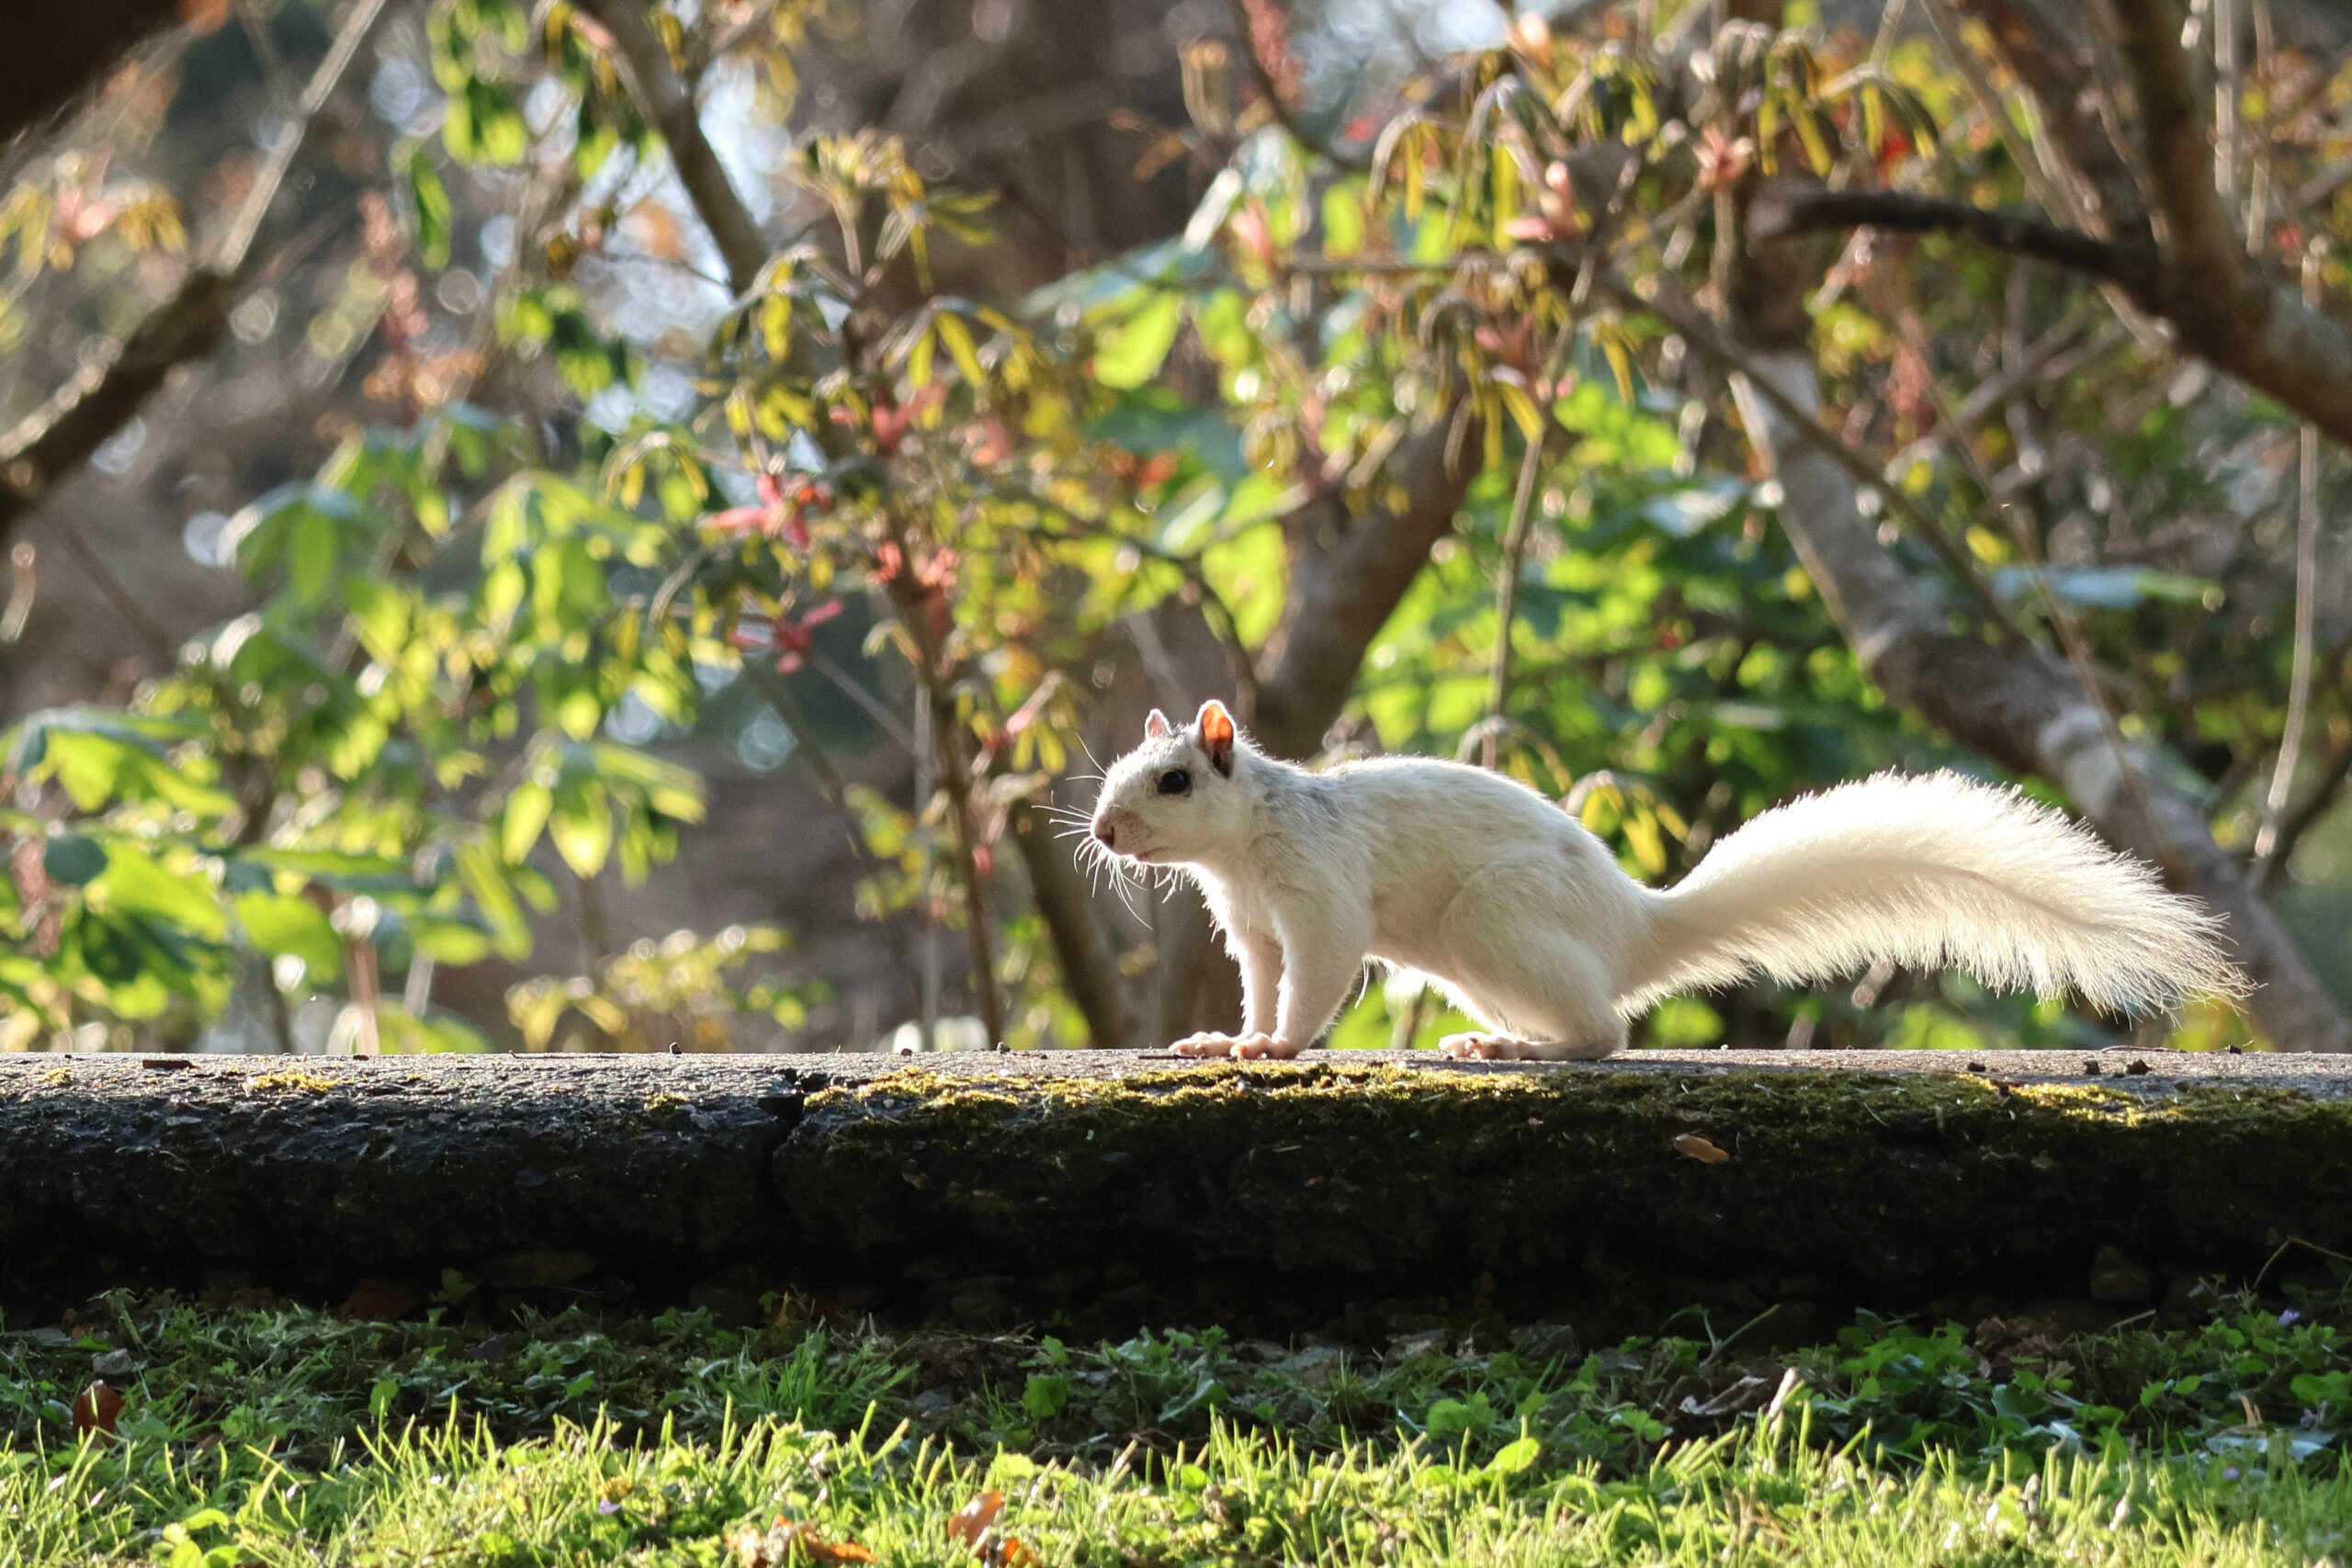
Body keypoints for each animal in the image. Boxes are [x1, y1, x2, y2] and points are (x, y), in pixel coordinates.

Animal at [1084, 700, 2245, 1060]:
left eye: (1174, 779)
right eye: (1112, 772)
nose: (1101, 829)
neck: (1242, 845)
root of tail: (1634, 928)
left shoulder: (1316, 892)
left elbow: (1318, 972)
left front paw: (1278, 1047)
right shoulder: (1251, 924)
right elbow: (1260, 979)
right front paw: (1229, 1039)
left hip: (1495, 922)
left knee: (1607, 1034)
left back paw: (1526, 1049)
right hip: (1478, 960)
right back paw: (1500, 1040)